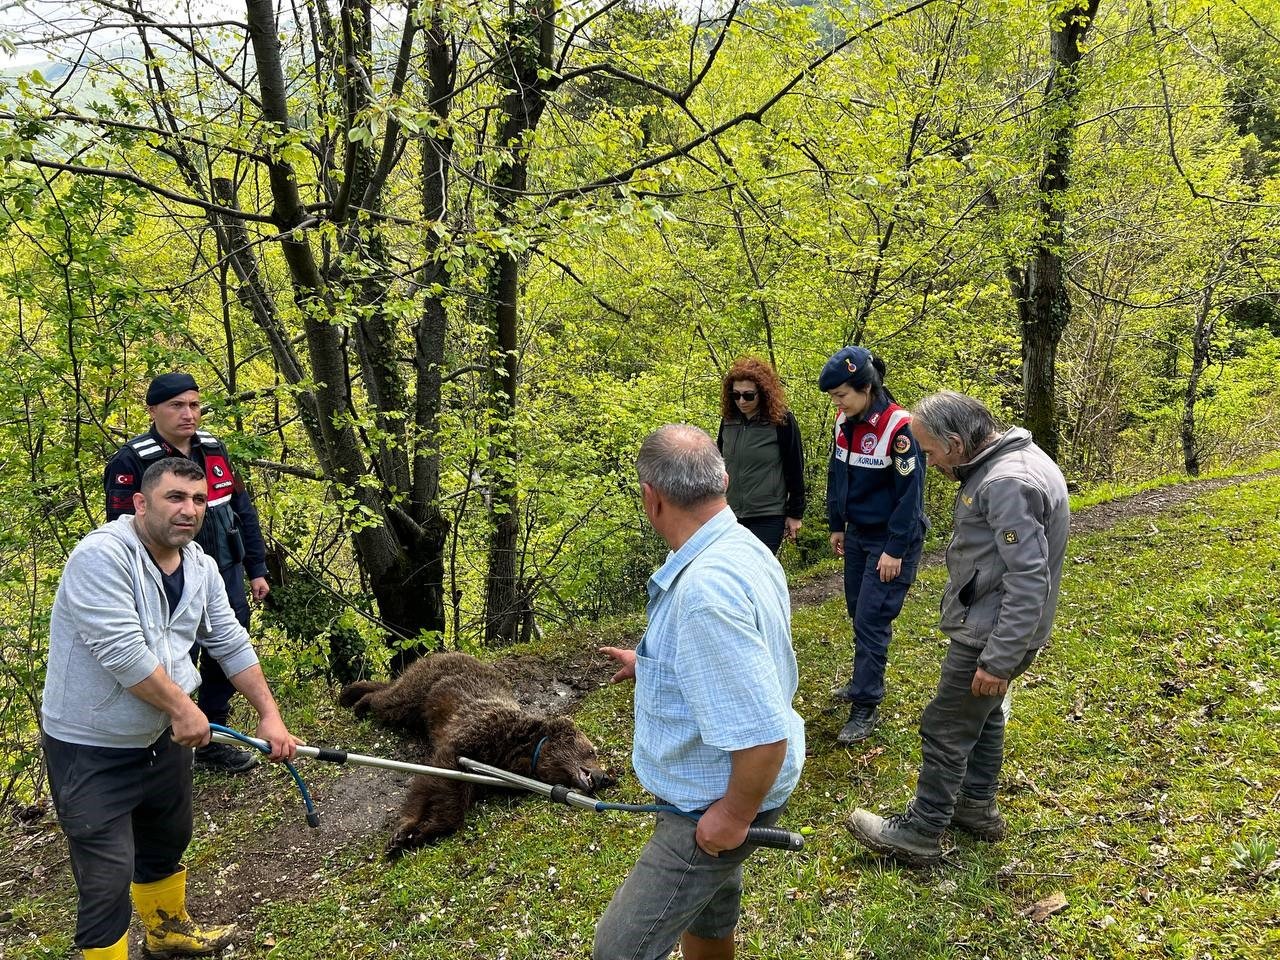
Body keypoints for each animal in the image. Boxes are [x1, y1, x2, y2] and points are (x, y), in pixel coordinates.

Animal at [335, 650, 614, 860]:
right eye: (591, 750)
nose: (604, 777)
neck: (520, 752)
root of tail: (446, 652)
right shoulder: (471, 741)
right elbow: (437, 781)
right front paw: (405, 831)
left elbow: (451, 791)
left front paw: (418, 832)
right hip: (423, 690)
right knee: (391, 700)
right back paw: (357, 701)